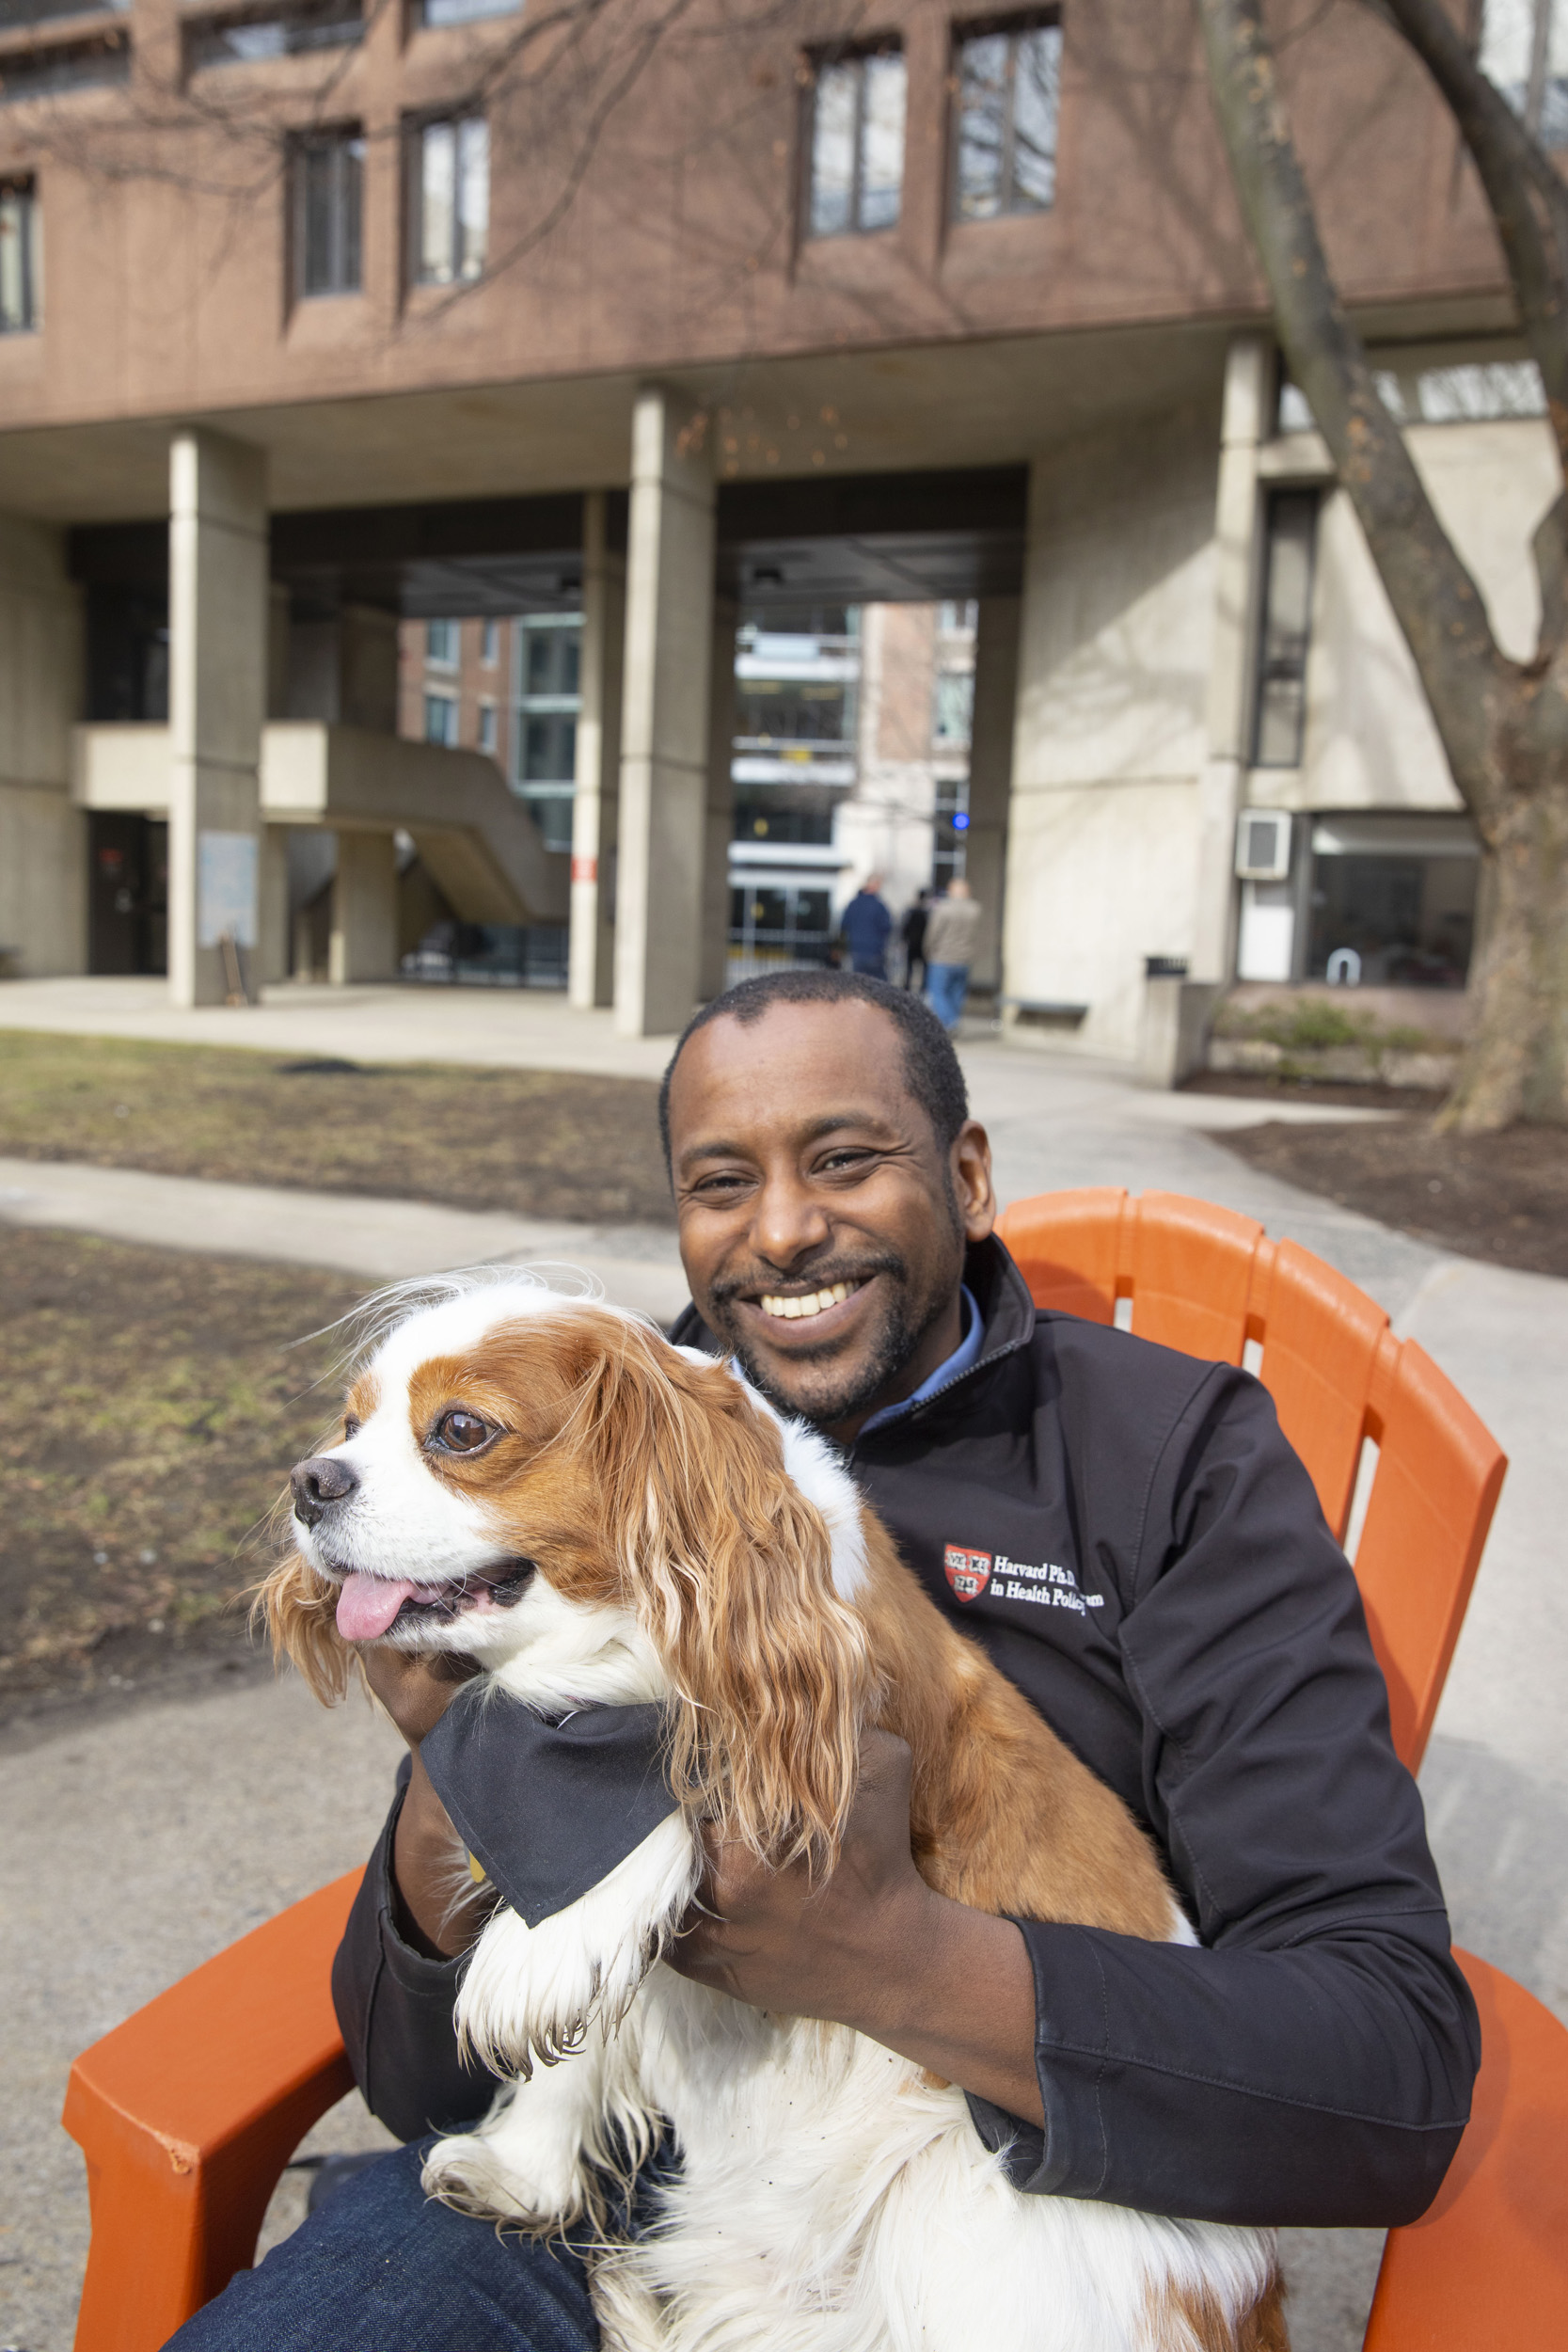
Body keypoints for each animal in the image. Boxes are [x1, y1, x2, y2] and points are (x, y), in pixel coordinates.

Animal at [266, 1279, 1288, 2352]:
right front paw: (520, 2173)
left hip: (957, 2219)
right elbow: (577, 2038)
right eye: (350, 1425)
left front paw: (544, 1945)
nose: (309, 1480)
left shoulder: (822, 1721)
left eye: (461, 1430)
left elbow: (658, 1786)